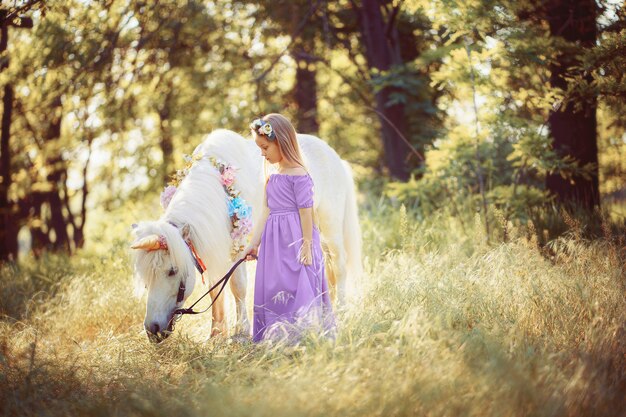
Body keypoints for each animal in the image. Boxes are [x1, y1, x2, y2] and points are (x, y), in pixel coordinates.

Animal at [132, 130, 360, 342]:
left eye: (172, 271)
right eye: (145, 275)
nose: (152, 330)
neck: (218, 190)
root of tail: (334, 156)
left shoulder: (238, 246)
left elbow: (238, 286)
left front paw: (241, 331)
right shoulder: (212, 249)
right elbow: (216, 290)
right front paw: (215, 334)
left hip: (330, 228)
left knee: (339, 266)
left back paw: (341, 312)